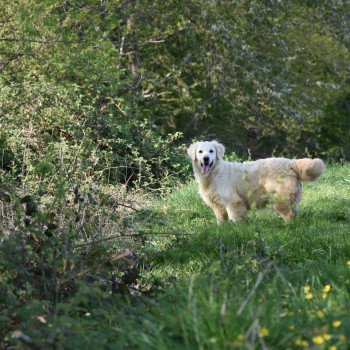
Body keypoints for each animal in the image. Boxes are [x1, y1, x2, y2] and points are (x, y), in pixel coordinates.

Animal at [189, 139, 326, 221]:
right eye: (200, 151)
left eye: (211, 151)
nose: (206, 158)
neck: (213, 173)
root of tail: (291, 163)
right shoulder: (218, 205)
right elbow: (221, 220)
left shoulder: (233, 201)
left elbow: (235, 217)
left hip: (279, 196)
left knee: (288, 213)